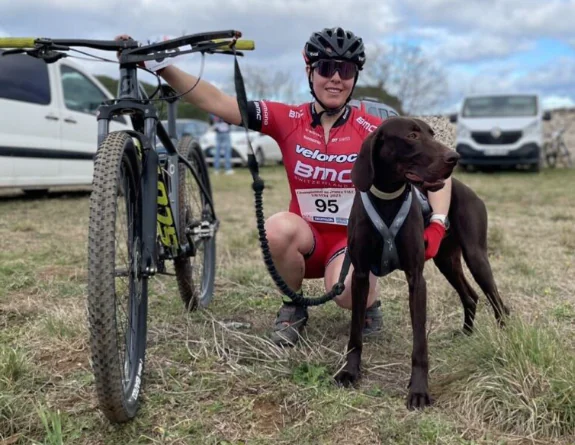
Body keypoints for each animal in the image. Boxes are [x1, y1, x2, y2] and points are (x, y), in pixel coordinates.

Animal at [336, 117, 510, 410]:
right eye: (412, 136)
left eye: (432, 133)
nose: (454, 157)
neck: (388, 199)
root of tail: (469, 190)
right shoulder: (359, 276)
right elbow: (354, 333)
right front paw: (350, 371)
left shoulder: (416, 279)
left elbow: (419, 344)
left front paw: (418, 391)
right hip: (446, 260)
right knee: (471, 296)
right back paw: (466, 333)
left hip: (476, 257)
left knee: (497, 301)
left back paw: (504, 339)